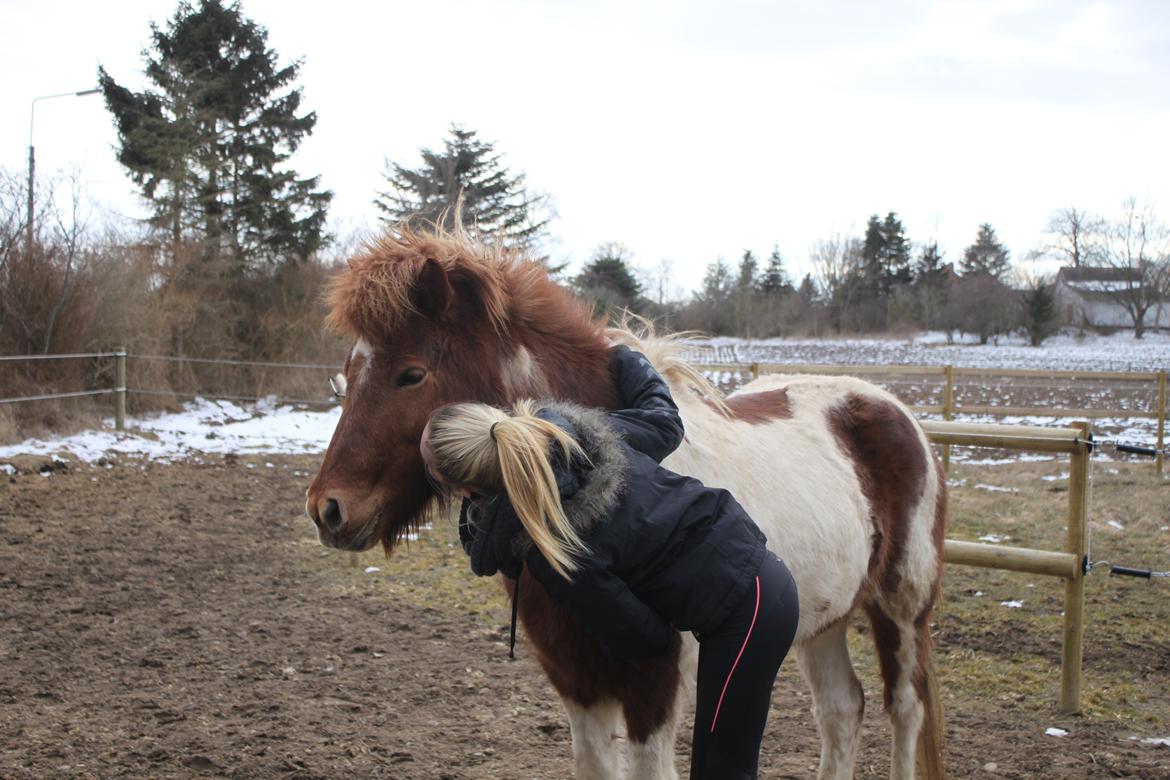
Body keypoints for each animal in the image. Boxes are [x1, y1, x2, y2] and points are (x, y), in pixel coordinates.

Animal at [306, 230, 945, 780]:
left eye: (411, 374)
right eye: (347, 374)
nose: (327, 509)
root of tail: (891, 410)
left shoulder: (653, 685)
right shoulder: (578, 681)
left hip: (901, 609)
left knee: (904, 710)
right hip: (824, 619)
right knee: (842, 710)